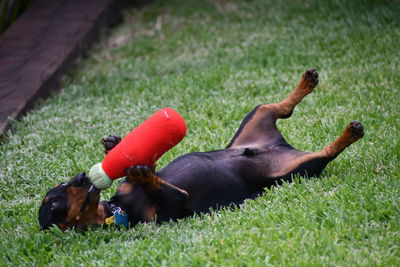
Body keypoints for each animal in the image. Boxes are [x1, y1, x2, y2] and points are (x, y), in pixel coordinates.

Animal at [39, 70, 364, 231]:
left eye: (63, 184)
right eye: (52, 204)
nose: (82, 177)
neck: (119, 209)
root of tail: (281, 145)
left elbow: (146, 166)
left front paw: (115, 146)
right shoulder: (174, 205)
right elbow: (155, 182)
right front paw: (140, 173)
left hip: (256, 118)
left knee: (280, 108)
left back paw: (307, 82)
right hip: (297, 169)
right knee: (325, 152)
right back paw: (349, 133)